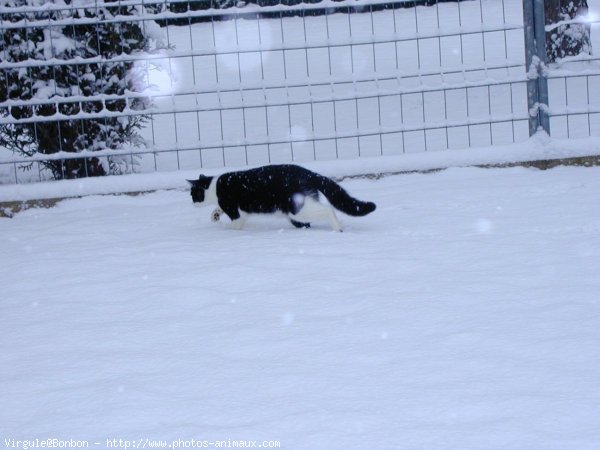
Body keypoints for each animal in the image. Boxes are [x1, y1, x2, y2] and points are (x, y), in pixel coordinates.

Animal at [188, 163, 376, 232]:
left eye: (192, 194)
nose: (191, 203)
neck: (214, 186)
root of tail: (310, 173)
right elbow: (219, 209)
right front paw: (215, 215)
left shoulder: (235, 211)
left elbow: (235, 224)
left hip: (298, 208)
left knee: (327, 209)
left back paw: (338, 228)